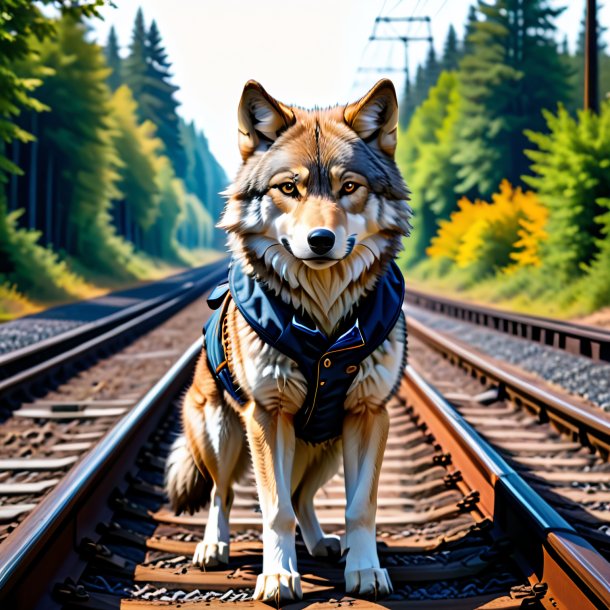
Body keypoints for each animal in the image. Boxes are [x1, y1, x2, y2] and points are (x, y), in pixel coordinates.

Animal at [166, 78, 410, 600]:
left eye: (349, 187)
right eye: (288, 188)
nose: (320, 240)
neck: (324, 326)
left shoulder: (368, 414)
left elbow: (360, 507)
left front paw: (365, 570)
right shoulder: (267, 415)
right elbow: (273, 508)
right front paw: (278, 576)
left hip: (327, 449)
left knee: (302, 496)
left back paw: (321, 544)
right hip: (222, 434)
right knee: (222, 492)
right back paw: (212, 547)